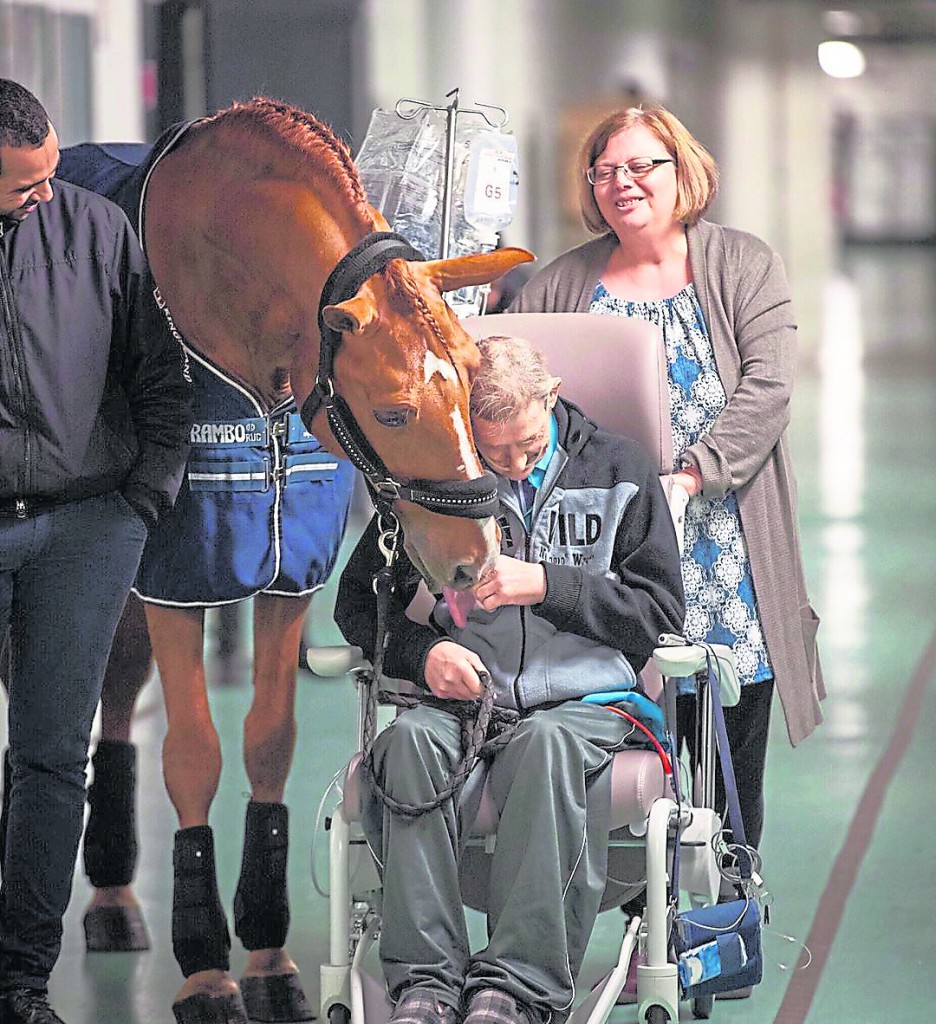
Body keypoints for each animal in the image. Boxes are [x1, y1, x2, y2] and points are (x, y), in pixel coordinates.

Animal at [60, 96, 532, 1024]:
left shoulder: (286, 574)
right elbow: (195, 753)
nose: (475, 560)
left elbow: (268, 743)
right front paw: (206, 970)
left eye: (470, 376)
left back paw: (112, 896)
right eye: (392, 411)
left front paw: (269, 957)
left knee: (118, 686)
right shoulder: (180, 574)